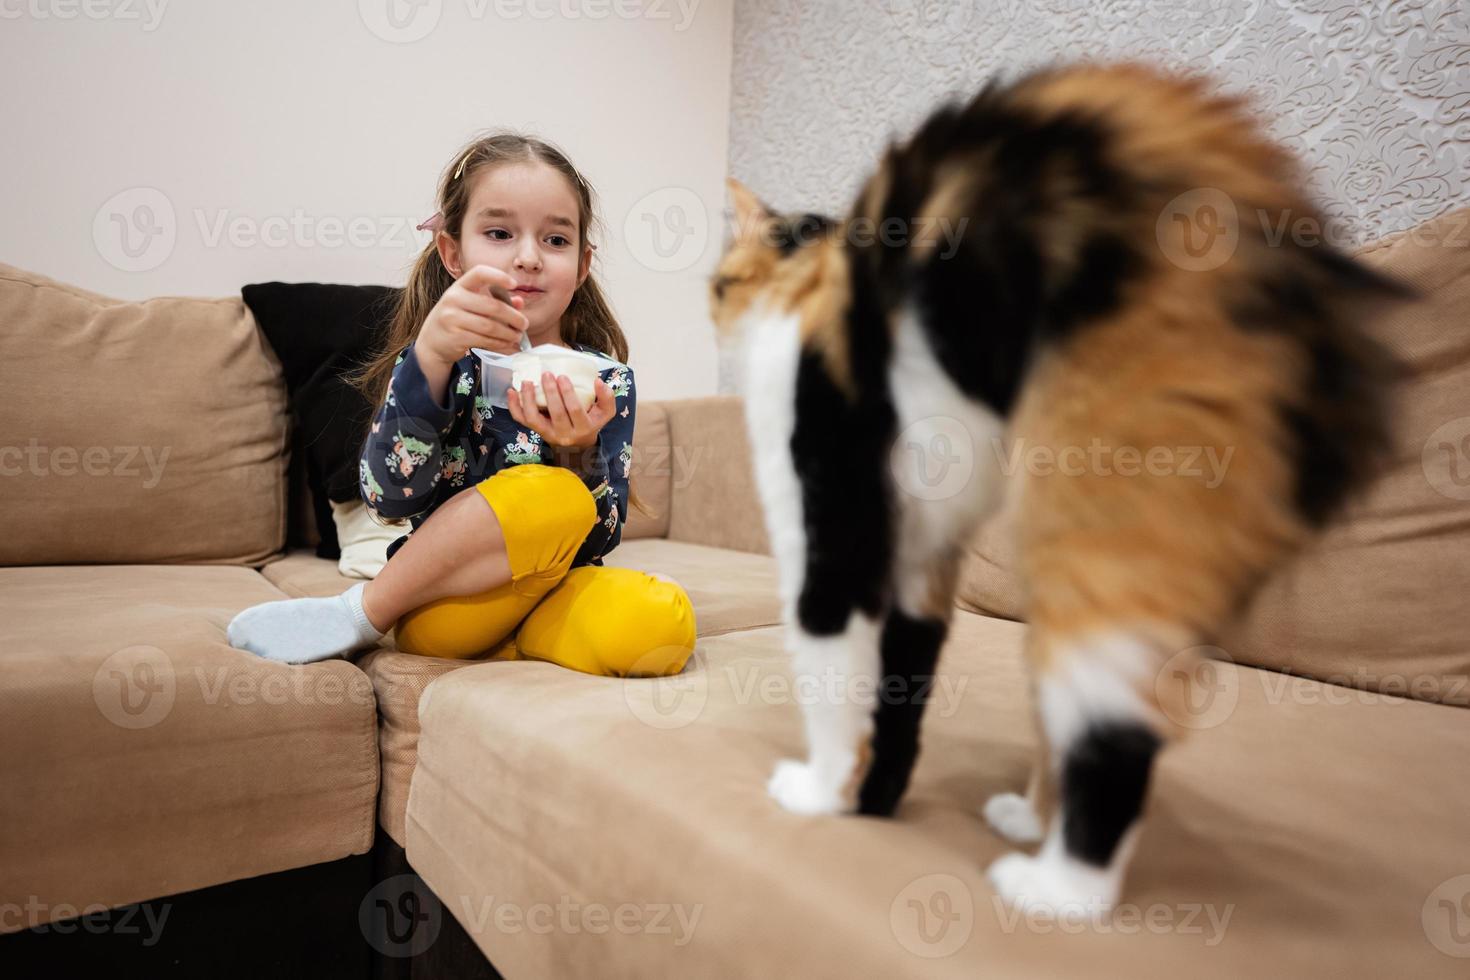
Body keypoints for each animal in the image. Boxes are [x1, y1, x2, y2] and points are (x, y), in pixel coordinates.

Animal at [711, 65, 1399, 916]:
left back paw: (1058, 887)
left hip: (1098, 527)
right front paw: (878, 800)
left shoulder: (834, 519)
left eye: (722, 283)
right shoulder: (924, 548)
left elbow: (832, 664)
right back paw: (1026, 817)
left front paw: (823, 792)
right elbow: (903, 679)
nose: (716, 312)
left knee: (1114, 733)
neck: (820, 286)